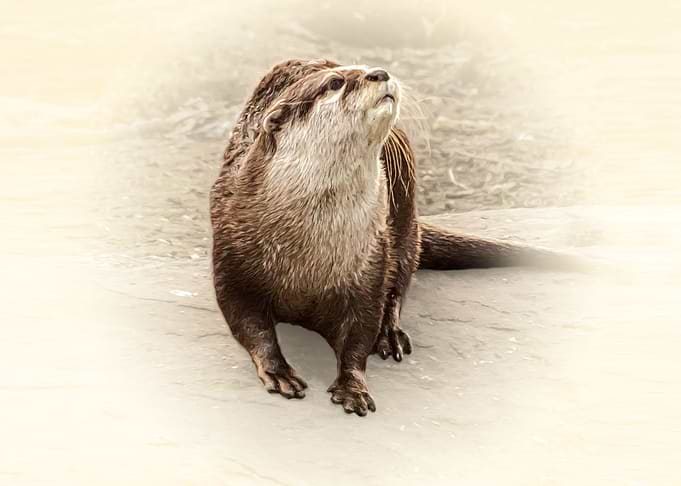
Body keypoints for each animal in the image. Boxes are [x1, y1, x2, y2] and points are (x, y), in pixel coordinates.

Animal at [210, 59, 577, 416]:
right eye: (335, 82)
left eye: (365, 67)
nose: (379, 72)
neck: (308, 255)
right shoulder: (231, 250)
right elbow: (247, 320)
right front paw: (278, 371)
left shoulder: (370, 262)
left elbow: (360, 333)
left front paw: (353, 387)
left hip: (403, 220)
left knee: (400, 281)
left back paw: (390, 335)